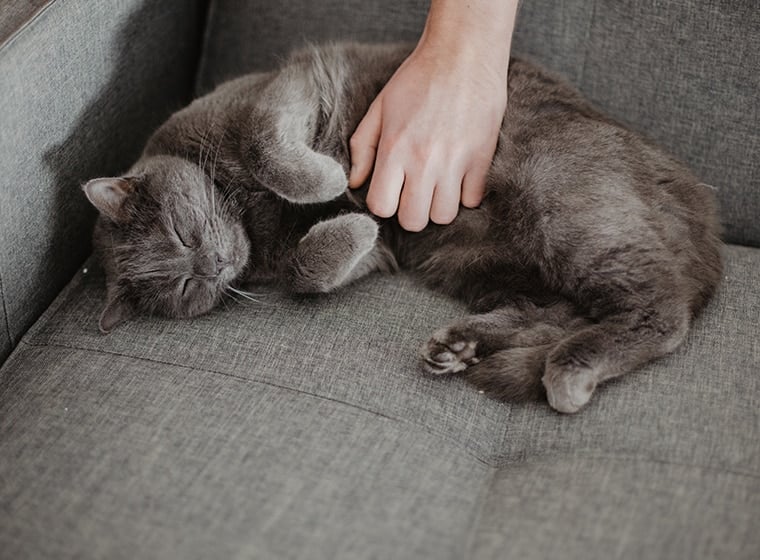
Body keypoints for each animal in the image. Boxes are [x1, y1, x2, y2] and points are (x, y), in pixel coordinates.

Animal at [83, 42, 724, 412]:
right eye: (186, 286)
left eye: (182, 235)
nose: (214, 265)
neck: (246, 216)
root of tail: (707, 225)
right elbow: (304, 272)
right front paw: (354, 226)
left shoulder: (284, 88)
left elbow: (269, 147)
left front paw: (330, 179)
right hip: (473, 260)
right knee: (559, 310)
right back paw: (461, 348)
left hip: (561, 203)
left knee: (660, 314)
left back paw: (568, 371)